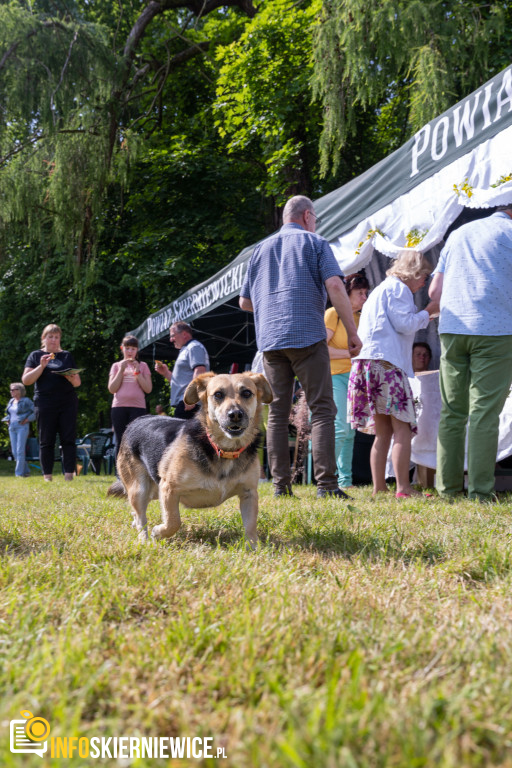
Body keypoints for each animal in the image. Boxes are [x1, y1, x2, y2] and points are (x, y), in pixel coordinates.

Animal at [108, 372, 274, 544]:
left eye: (247, 393)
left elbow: (251, 526)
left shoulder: (249, 493)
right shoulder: (168, 488)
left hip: (153, 489)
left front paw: (253, 547)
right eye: (218, 394)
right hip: (140, 488)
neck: (222, 449)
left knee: (137, 511)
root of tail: (135, 422)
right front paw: (158, 532)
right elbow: (173, 521)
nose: (235, 414)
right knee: (141, 517)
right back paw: (144, 539)